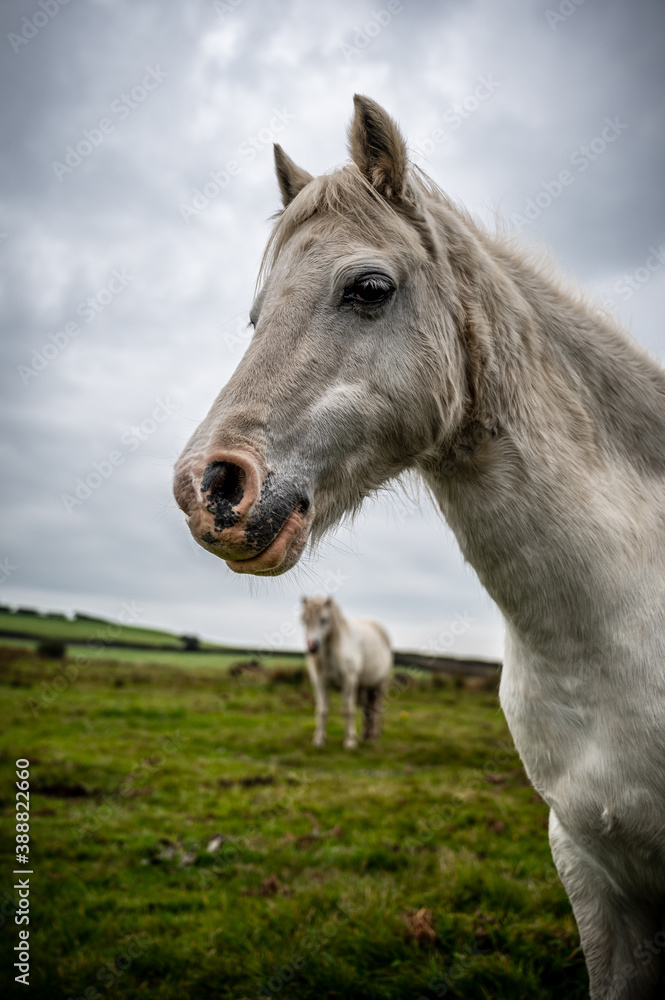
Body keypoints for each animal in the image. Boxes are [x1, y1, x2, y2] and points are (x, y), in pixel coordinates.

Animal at [300, 592, 392, 752]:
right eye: (305, 619)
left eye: (324, 620)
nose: (312, 646)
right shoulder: (320, 683)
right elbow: (322, 710)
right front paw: (319, 740)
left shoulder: (348, 682)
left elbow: (348, 710)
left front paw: (350, 742)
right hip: (363, 687)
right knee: (366, 709)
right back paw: (364, 736)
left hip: (379, 685)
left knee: (376, 708)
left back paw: (373, 737)